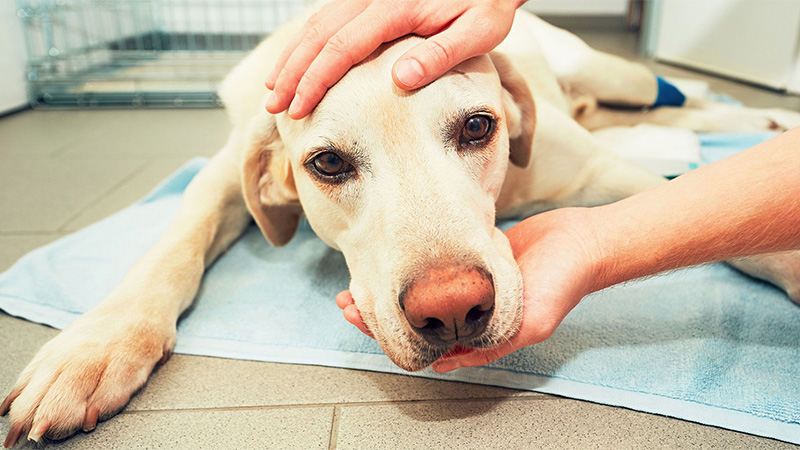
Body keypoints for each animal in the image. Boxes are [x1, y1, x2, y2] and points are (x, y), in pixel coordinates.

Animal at [1, 9, 800, 446]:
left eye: (478, 126)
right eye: (327, 163)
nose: (452, 309)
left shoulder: (603, 173)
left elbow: (706, 207)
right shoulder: (226, 170)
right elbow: (173, 244)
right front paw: (93, 350)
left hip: (609, 73)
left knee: (669, 98)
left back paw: (755, 114)